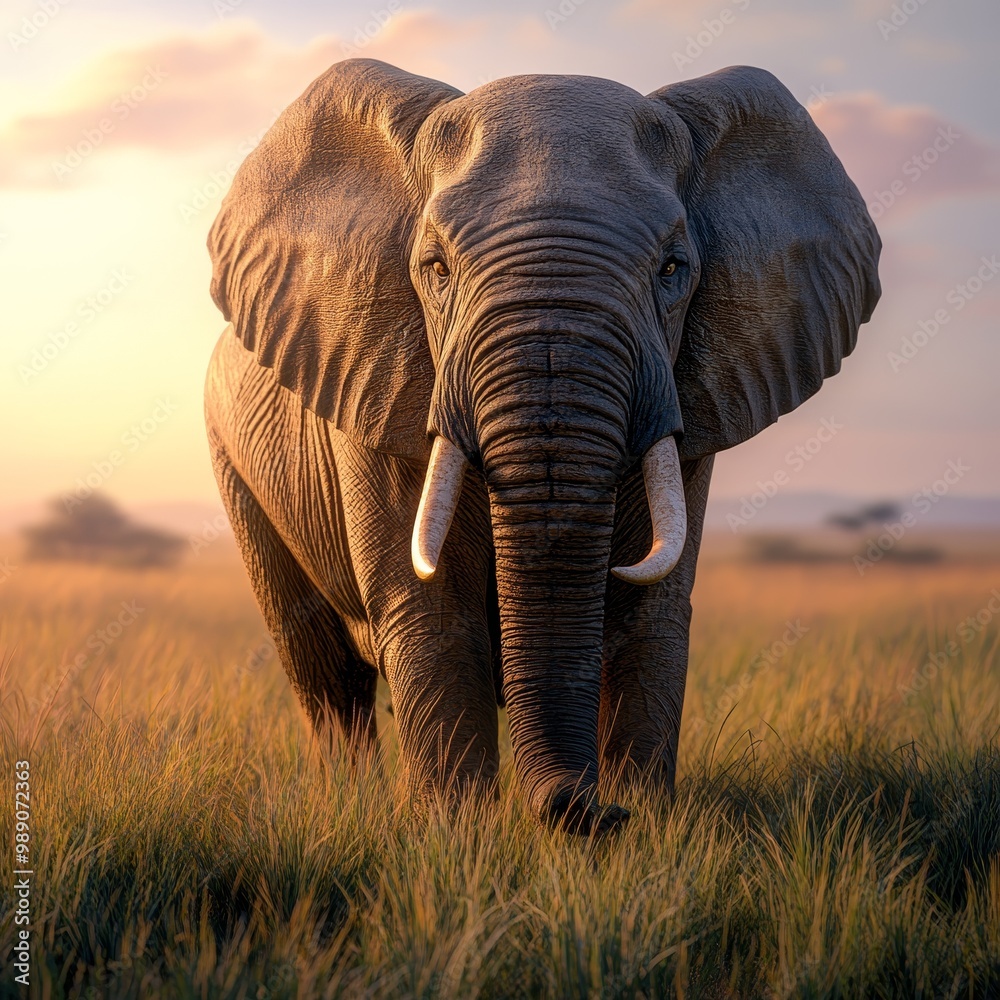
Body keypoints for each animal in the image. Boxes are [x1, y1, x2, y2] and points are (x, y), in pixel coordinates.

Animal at [204, 58, 880, 835]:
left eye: (673, 269)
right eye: (435, 269)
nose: (595, 810)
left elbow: (650, 608)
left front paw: (648, 824)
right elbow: (428, 605)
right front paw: (455, 833)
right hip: (236, 468)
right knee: (324, 676)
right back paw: (350, 800)